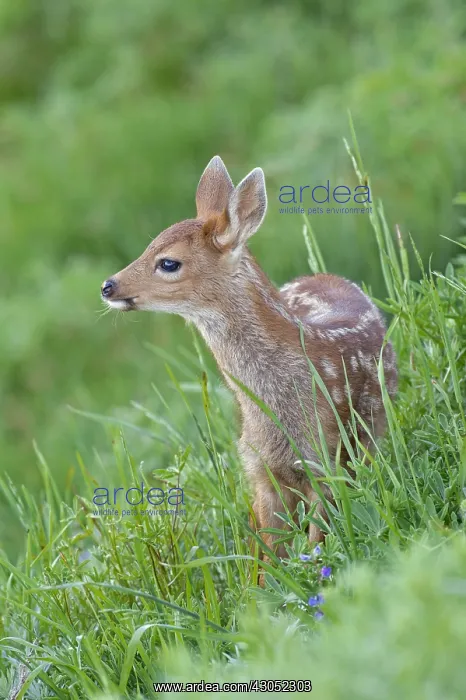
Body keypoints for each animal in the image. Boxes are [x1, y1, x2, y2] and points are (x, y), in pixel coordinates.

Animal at [101, 155, 397, 565]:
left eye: (168, 263)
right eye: (148, 247)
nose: (107, 286)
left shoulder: (323, 462)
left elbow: (315, 543)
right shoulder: (258, 468)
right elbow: (269, 555)